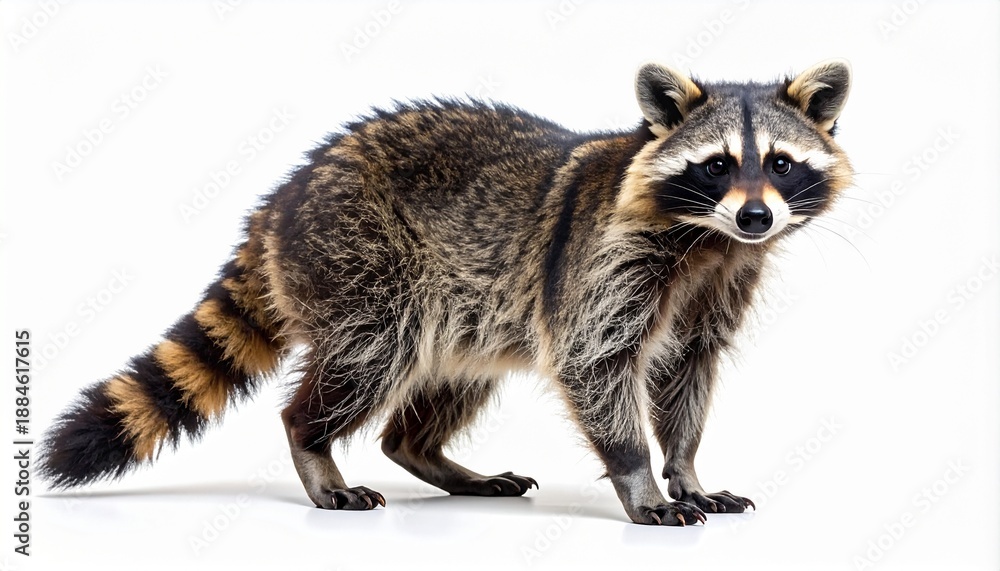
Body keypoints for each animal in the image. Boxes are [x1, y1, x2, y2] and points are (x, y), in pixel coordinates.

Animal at [40, 60, 852, 525]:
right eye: (717, 165)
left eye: (780, 163)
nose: (756, 216)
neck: (708, 239)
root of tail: (282, 198)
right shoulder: (603, 264)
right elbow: (596, 364)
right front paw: (640, 476)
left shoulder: (721, 281)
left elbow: (687, 371)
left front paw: (684, 469)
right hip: (364, 256)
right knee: (370, 351)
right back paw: (313, 444)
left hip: (466, 305)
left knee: (446, 383)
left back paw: (429, 453)